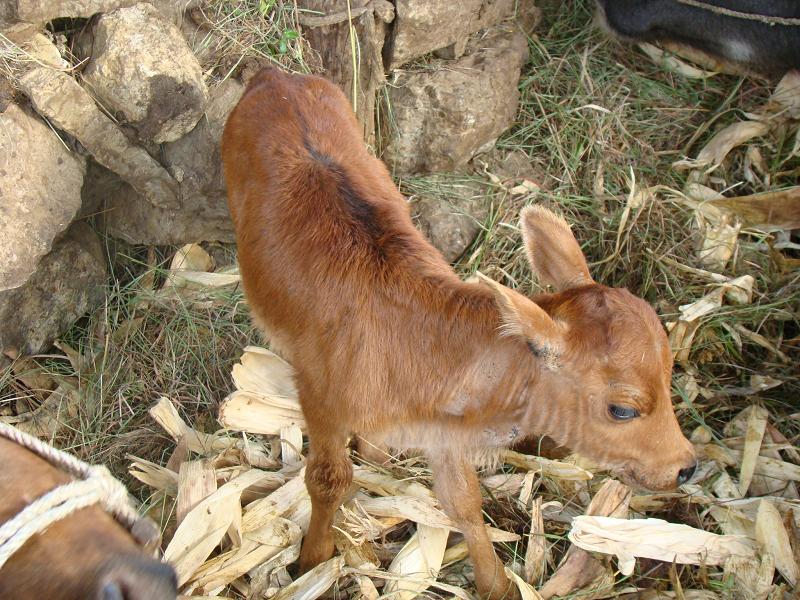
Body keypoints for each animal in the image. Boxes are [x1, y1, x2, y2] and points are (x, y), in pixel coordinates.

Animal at [222, 68, 696, 596]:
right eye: (622, 409)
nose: (686, 466)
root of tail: (276, 75)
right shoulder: (321, 401)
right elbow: (328, 479)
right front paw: (311, 563)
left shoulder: (443, 434)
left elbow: (464, 502)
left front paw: (497, 584)